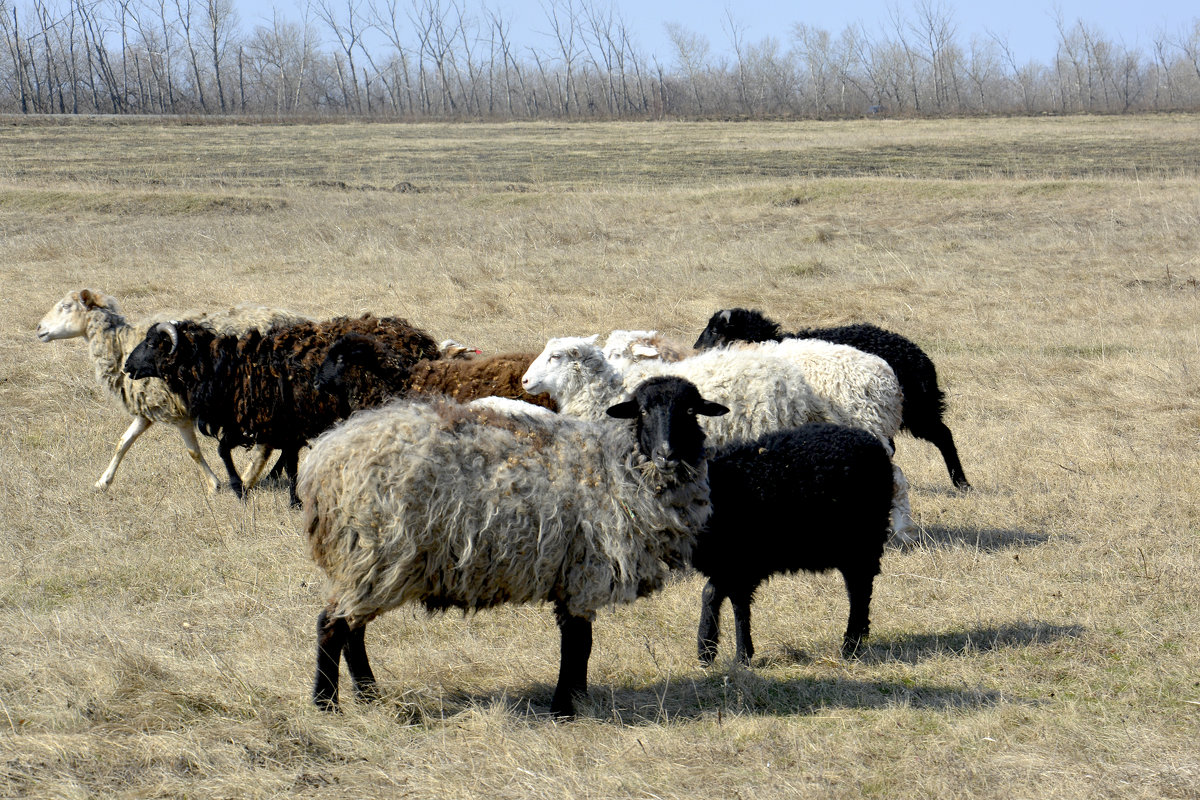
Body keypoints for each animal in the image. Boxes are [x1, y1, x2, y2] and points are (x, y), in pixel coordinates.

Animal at [123, 314, 441, 506]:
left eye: (151, 343)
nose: (127, 366)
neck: (227, 368)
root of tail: (421, 339)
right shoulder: (261, 421)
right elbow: (230, 451)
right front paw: (244, 487)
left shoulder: (280, 420)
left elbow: (282, 461)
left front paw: (274, 496)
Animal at [523, 335, 907, 542]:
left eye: (555, 357)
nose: (525, 381)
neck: (609, 391)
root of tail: (885, 376)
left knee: (896, 479)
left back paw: (900, 531)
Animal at [691, 307, 969, 491]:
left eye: (714, 330)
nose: (695, 349)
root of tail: (920, 358)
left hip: (914, 409)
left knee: (943, 436)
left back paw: (961, 482)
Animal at [691, 422, 897, 666]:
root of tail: (873, 442)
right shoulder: (727, 564)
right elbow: (711, 593)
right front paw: (706, 650)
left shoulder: (742, 562)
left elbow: (737, 606)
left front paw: (742, 656)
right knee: (859, 588)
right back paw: (859, 636)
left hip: (861, 541)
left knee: (859, 588)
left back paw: (851, 644)